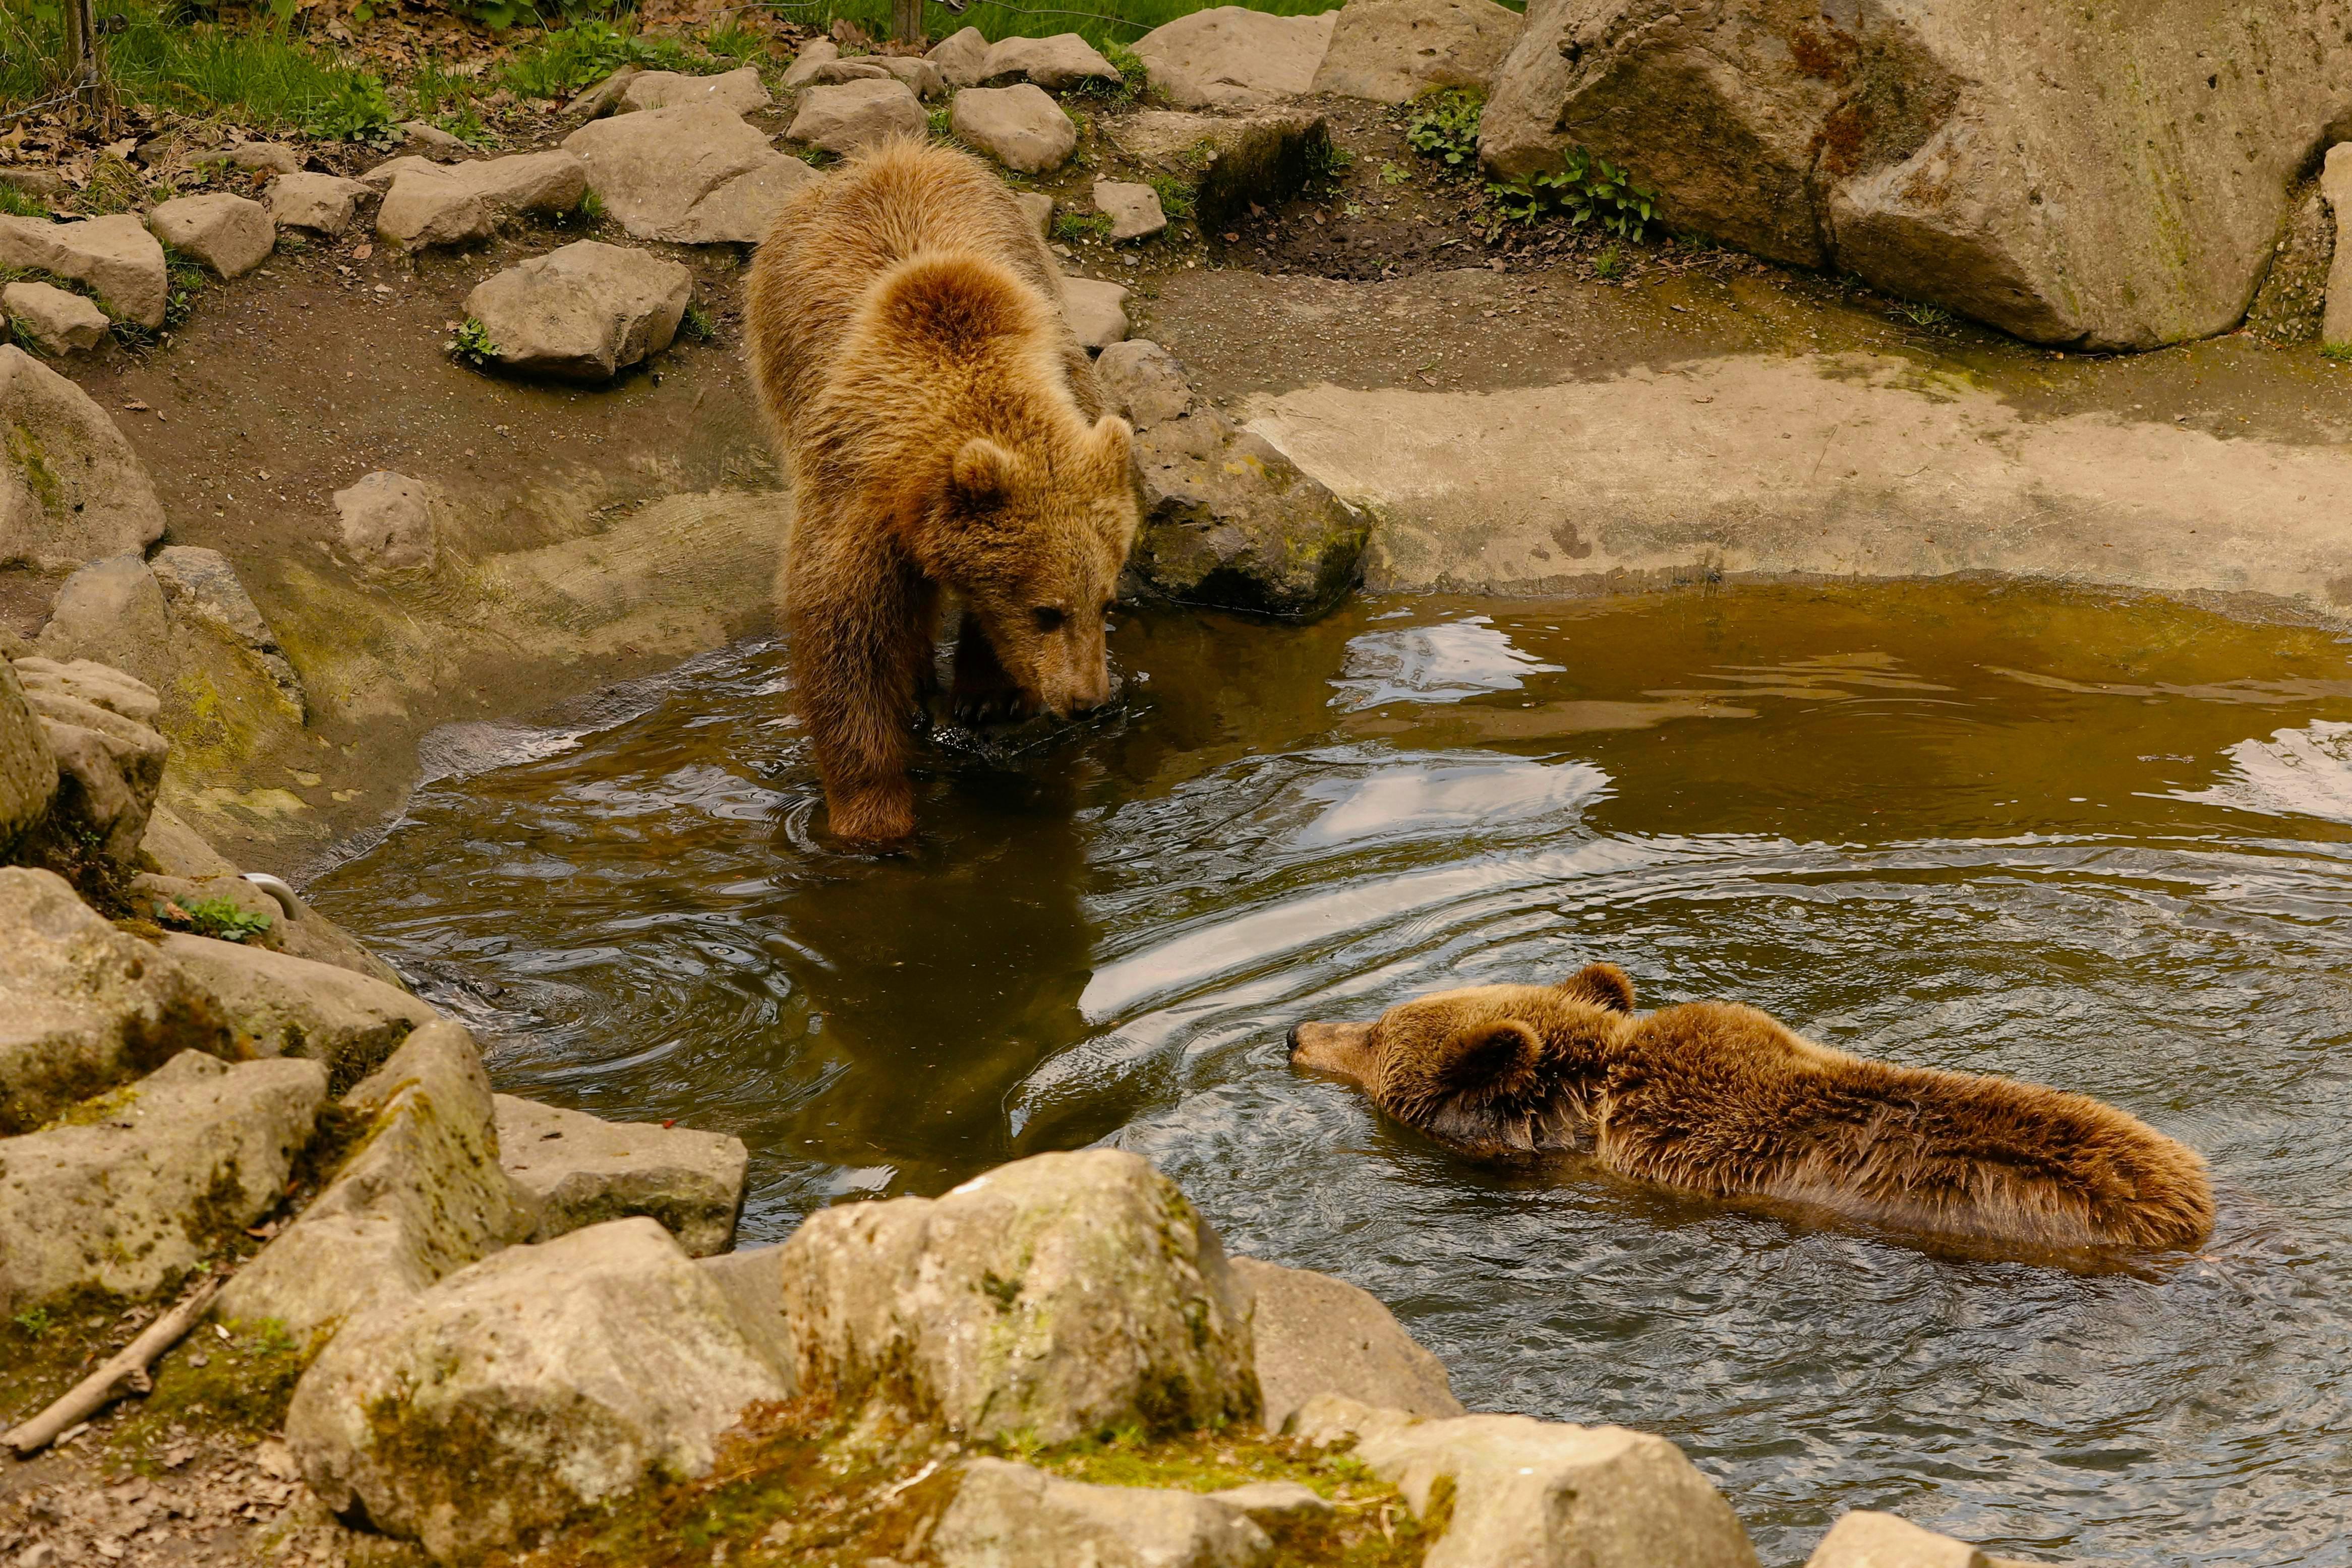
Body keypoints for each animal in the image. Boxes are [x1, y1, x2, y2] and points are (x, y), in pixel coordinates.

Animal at [746, 139, 1139, 843]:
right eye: (1048, 611)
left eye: (1106, 601)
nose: (1087, 701)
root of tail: (884, 154)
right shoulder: (855, 498)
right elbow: (845, 640)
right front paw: (873, 816)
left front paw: (988, 692)